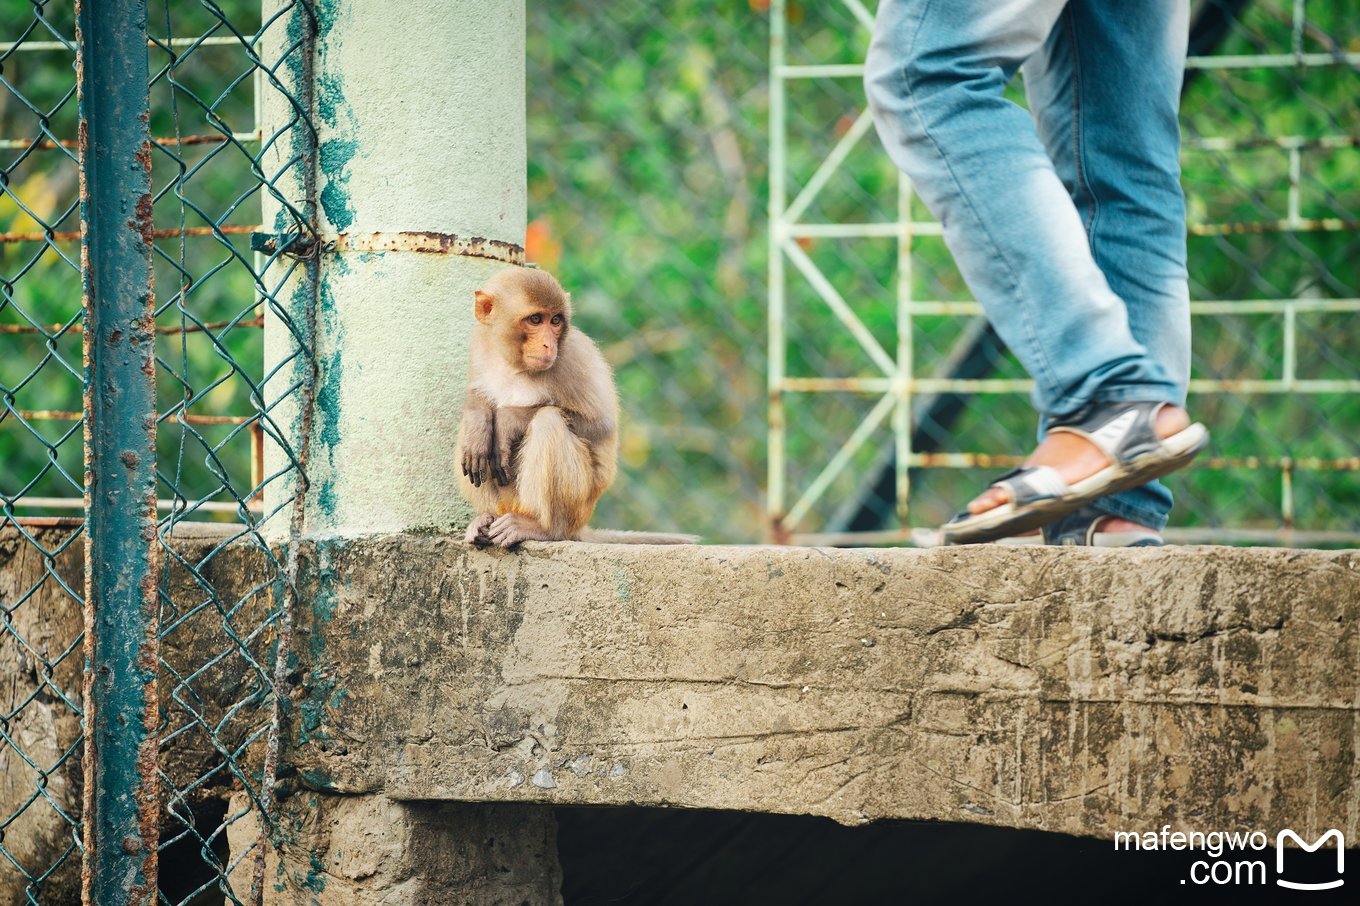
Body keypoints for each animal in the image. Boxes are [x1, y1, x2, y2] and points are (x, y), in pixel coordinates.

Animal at [459, 265, 696, 546]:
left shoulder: (573, 356)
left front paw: (509, 419)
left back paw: (544, 529)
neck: (514, 364)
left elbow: (601, 425)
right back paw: (486, 516)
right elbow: (476, 397)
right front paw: (479, 420)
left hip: (578, 505)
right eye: (535, 319)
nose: (548, 344)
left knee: (548, 420)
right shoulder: (478, 343)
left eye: (555, 321)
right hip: (511, 502)